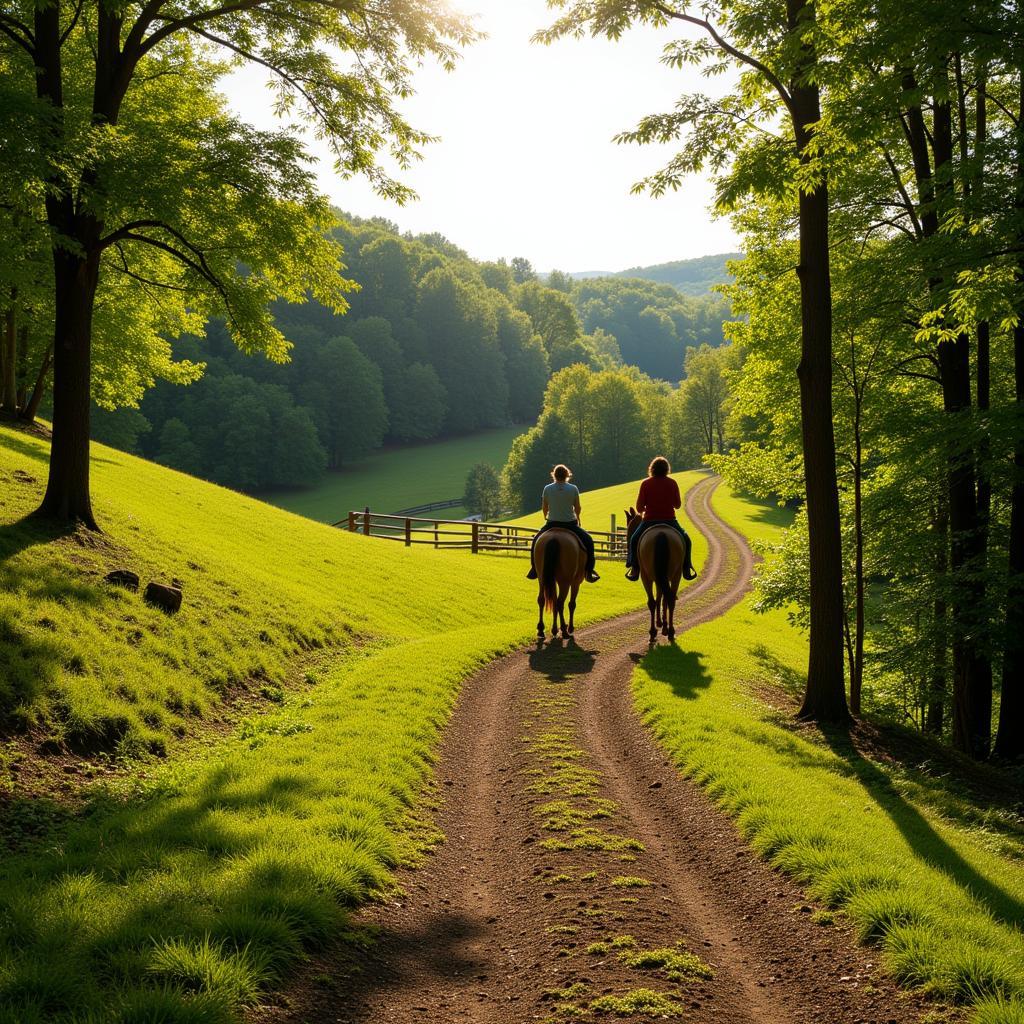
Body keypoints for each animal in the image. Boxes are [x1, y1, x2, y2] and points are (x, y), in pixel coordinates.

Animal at [622, 509, 696, 643]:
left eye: (630, 527)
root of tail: (661, 534)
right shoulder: (661, 578)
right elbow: (662, 597)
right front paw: (663, 624)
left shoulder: (655, 578)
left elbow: (658, 598)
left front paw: (660, 623)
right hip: (675, 575)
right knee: (670, 599)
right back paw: (670, 631)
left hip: (646, 576)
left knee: (652, 601)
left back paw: (653, 632)